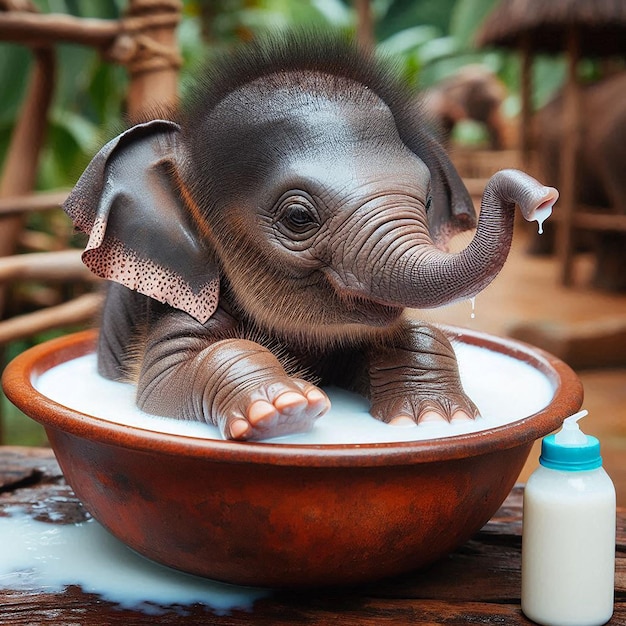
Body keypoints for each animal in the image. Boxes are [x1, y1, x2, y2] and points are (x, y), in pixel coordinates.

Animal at [64, 34, 556, 438]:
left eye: (429, 199)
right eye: (298, 217)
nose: (543, 197)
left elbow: (404, 334)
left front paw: (437, 417)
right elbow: (164, 377)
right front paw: (283, 408)